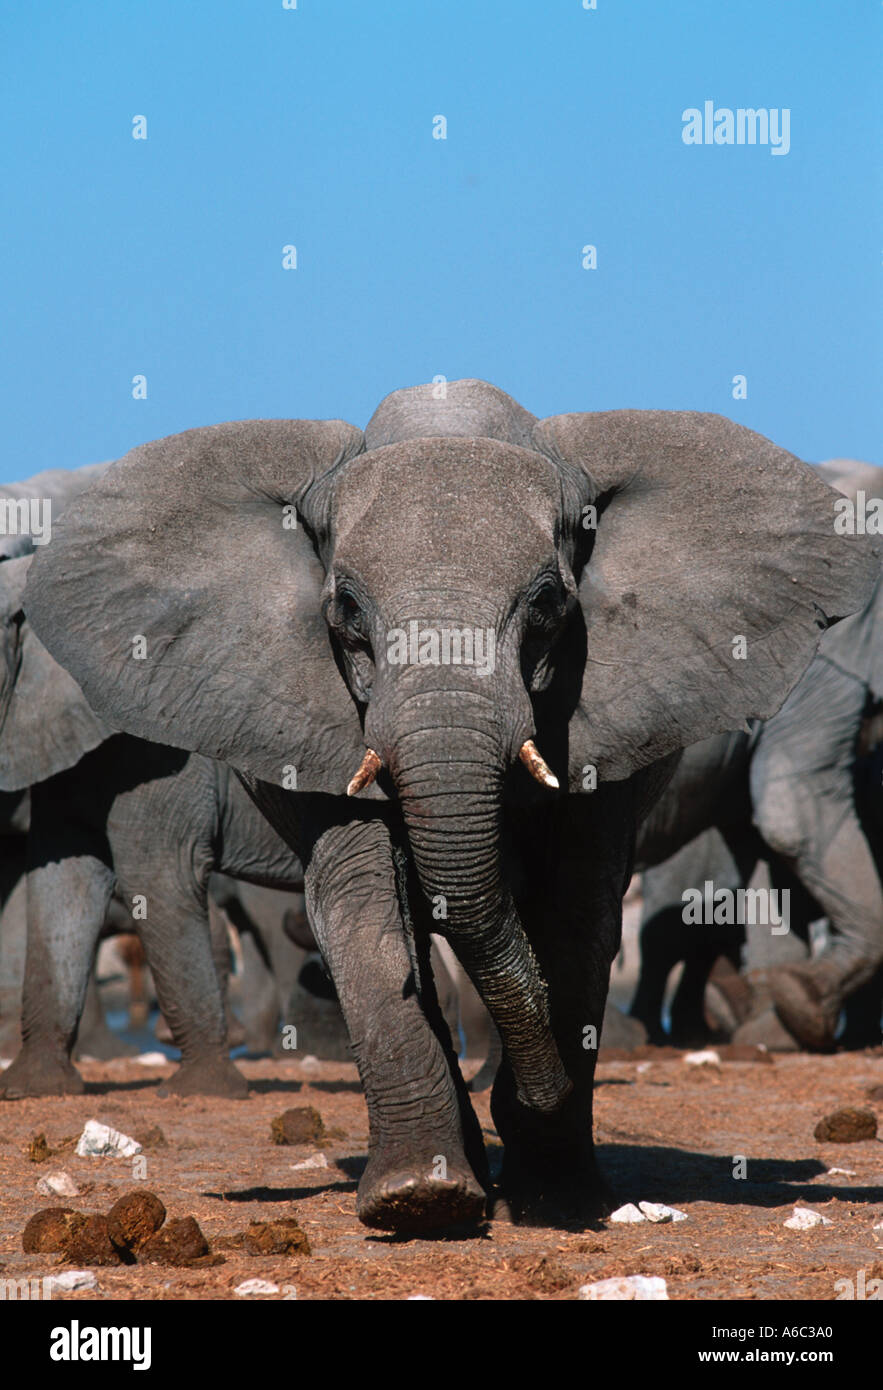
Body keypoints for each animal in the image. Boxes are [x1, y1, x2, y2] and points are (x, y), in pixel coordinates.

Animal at [24, 378, 877, 1233]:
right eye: (345, 611)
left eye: (547, 603)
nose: (533, 1091)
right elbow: (361, 904)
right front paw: (420, 1197)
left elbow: (576, 909)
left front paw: (555, 1191)